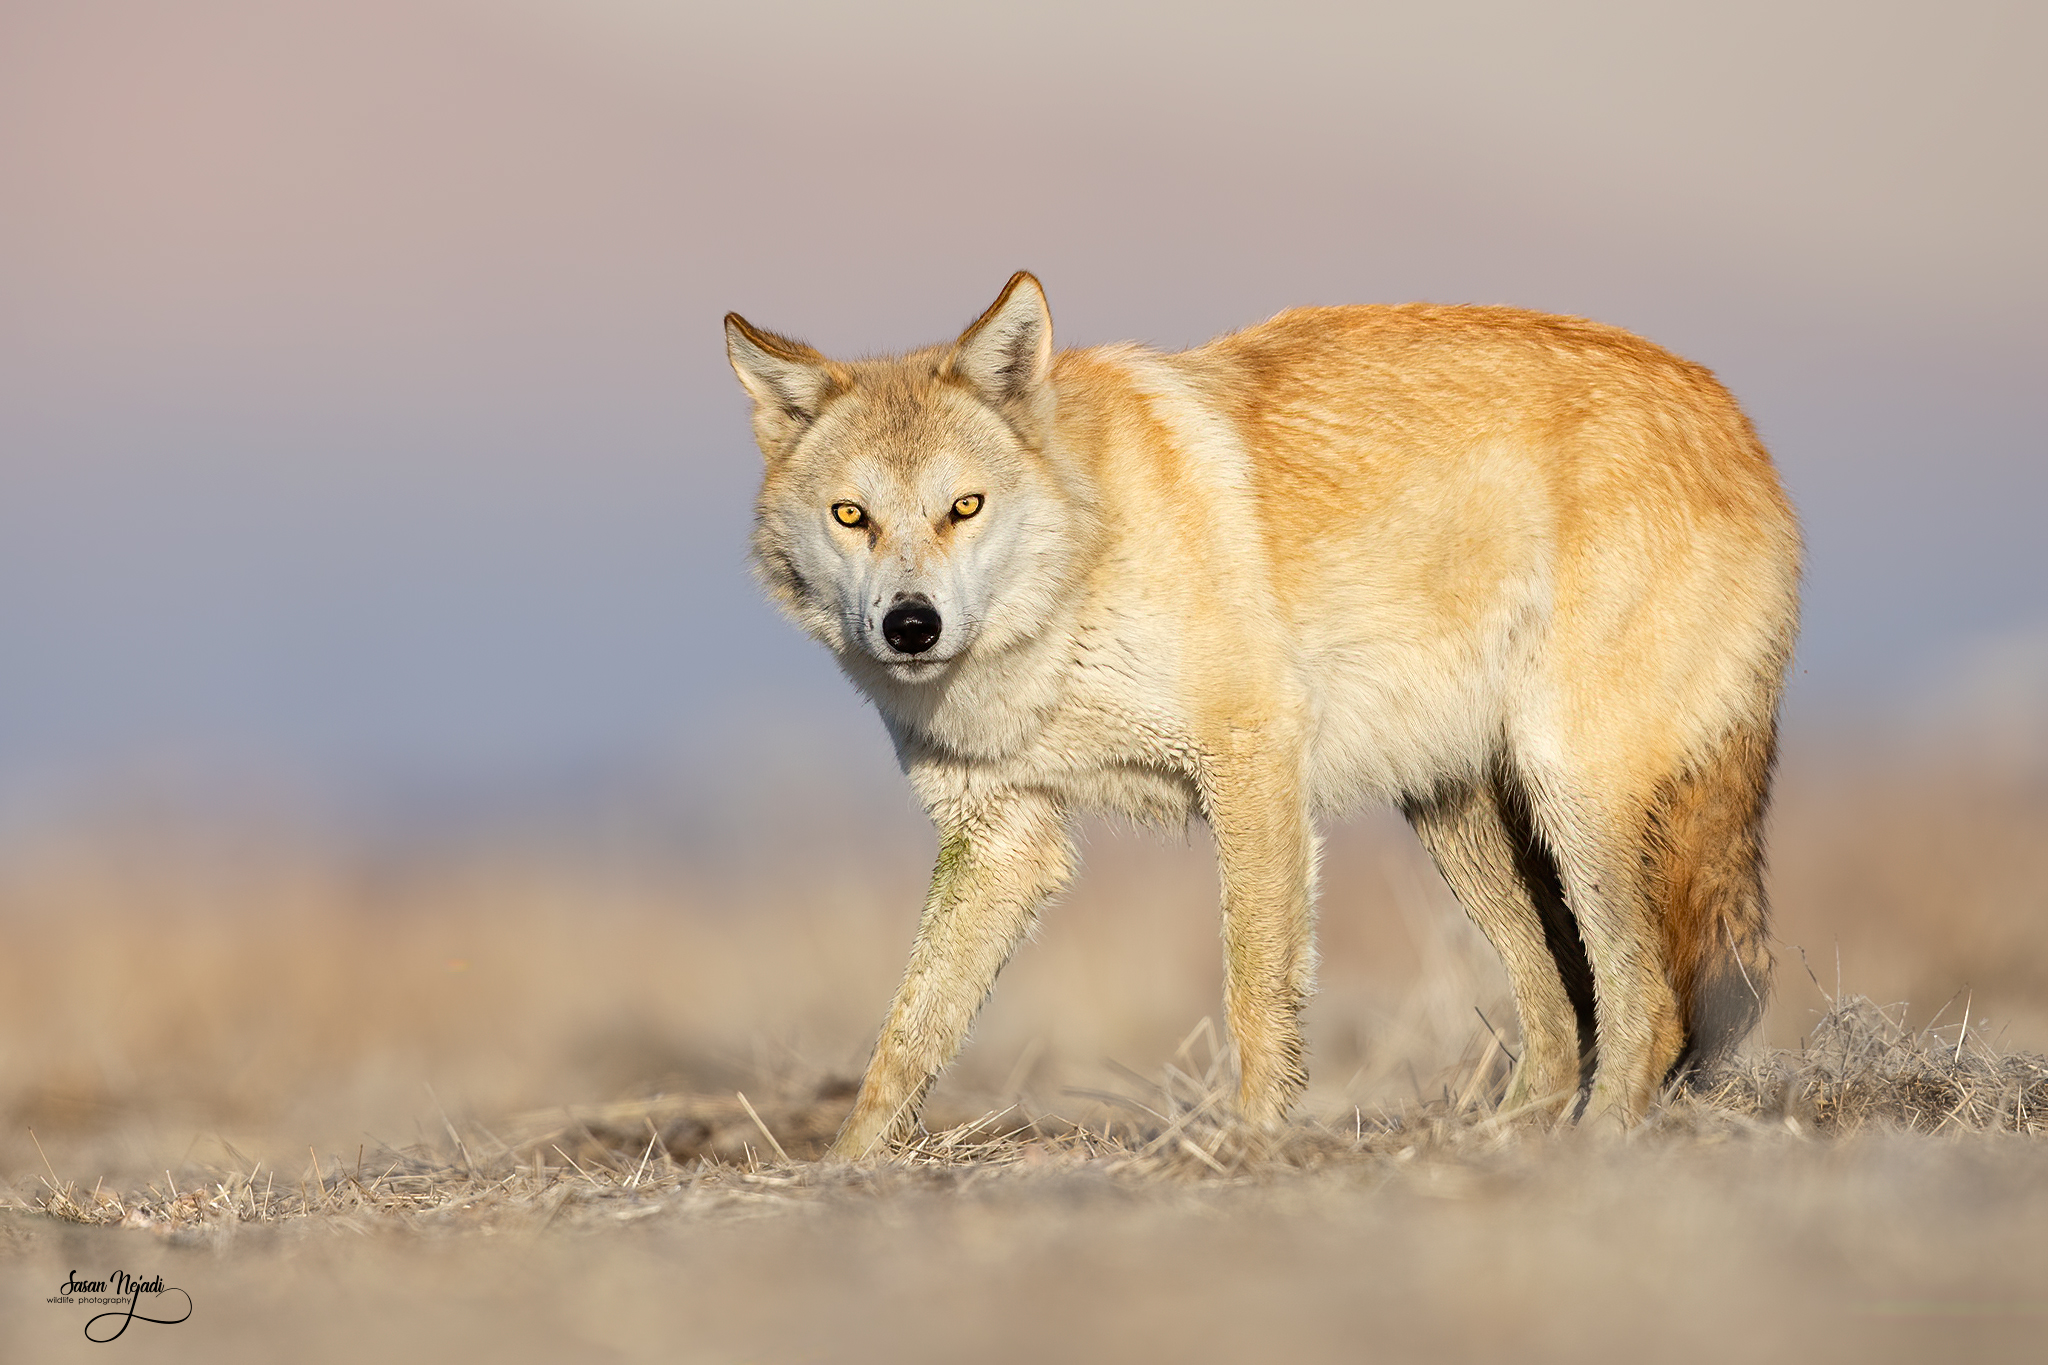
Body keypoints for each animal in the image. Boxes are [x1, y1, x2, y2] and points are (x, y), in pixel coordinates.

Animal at [724, 274, 1800, 1158]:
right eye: (851, 516)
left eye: (965, 507)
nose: (911, 625)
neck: (1070, 588)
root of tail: (1741, 429)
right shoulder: (1001, 839)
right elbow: (904, 1039)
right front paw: (844, 1173)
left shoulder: (1251, 764)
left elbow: (1253, 990)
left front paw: (1246, 1150)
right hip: (1459, 816)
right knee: (1558, 1018)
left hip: (1564, 789)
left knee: (1646, 1003)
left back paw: (1597, 1148)